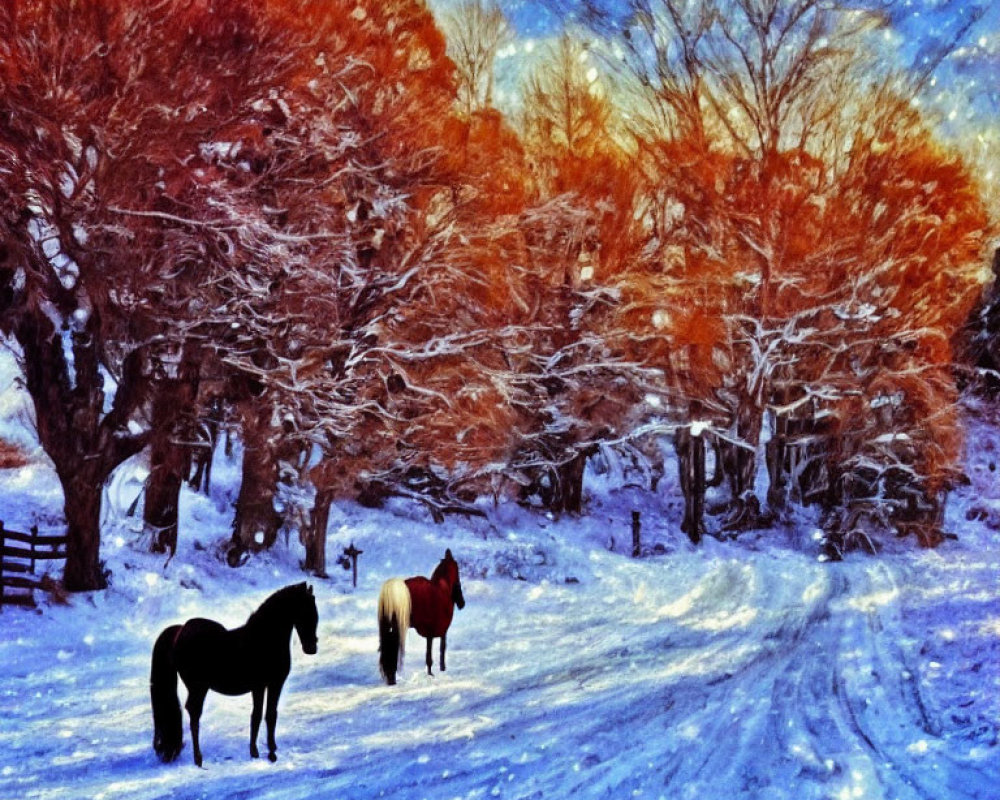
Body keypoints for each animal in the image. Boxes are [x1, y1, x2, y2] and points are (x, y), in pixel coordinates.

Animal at [149, 584, 316, 764]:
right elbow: (257, 715)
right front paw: (257, 752)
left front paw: (269, 752)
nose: (311, 648)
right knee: (194, 713)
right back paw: (198, 759)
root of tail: (180, 631)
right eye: (304, 611)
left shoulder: (275, 684)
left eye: (314, 612)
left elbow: (270, 715)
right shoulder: (260, 686)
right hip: (198, 688)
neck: (264, 639)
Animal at [378, 552, 464, 688]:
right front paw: (434, 673)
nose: (462, 603)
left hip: (389, 627)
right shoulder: (435, 631)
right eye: (457, 569)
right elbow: (437, 651)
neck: (443, 588)